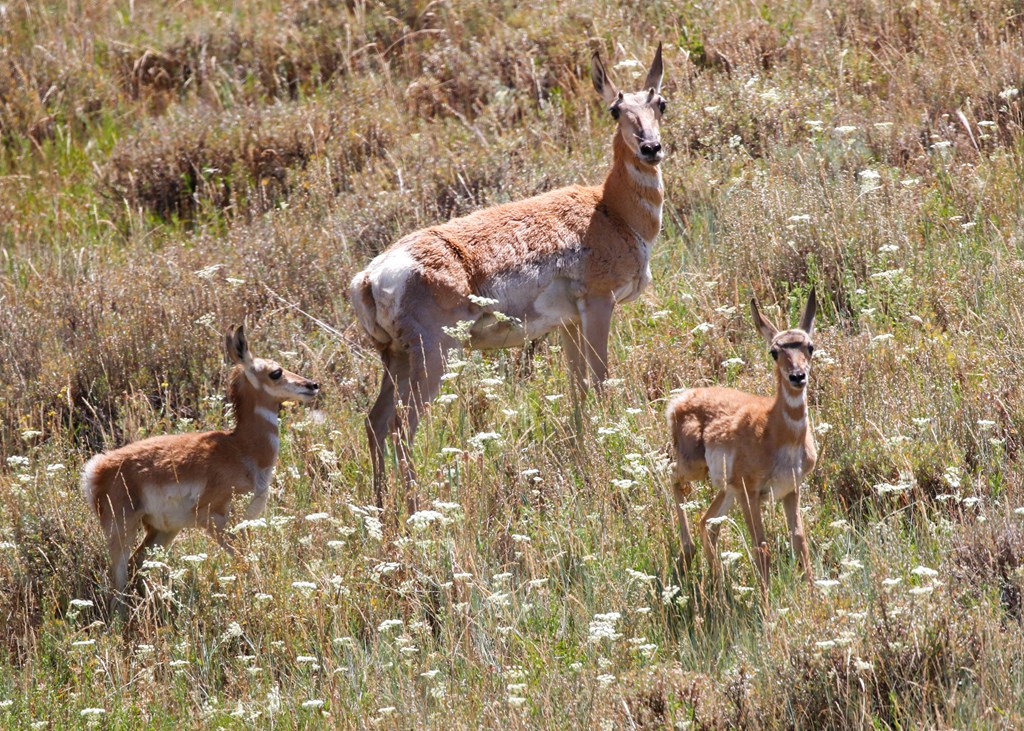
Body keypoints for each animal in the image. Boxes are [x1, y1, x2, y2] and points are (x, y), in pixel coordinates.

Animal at [80, 325, 319, 600]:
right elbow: (244, 563)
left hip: (163, 530)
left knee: (136, 563)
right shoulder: (215, 519)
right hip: (121, 529)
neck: (240, 448)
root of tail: (97, 468)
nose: (313, 385)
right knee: (117, 580)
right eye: (276, 372)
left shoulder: (246, 521)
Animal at [350, 44, 668, 514]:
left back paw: (379, 508)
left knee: (375, 422)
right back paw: (415, 508)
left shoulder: (568, 323)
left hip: (395, 357)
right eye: (615, 109)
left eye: (660, 102)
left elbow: (578, 391)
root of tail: (369, 277)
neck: (611, 210)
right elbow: (600, 382)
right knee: (402, 427)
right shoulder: (598, 304)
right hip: (433, 355)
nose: (651, 147)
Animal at [666, 289, 818, 589]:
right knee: (672, 477)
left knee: (708, 521)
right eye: (774, 351)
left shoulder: (790, 490)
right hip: (696, 469)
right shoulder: (751, 494)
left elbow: (800, 543)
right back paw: (689, 553)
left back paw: (718, 580)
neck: (774, 432)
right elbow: (762, 547)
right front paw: (767, 598)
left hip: (728, 490)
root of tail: (680, 400)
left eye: (810, 346)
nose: (797, 376)